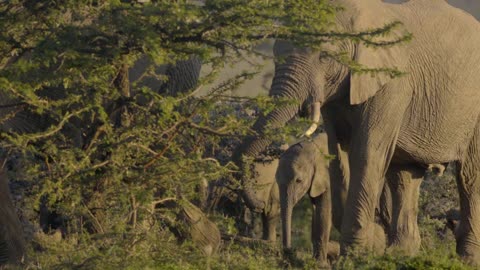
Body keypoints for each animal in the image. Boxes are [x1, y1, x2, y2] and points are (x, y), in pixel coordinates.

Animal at [240, 0, 480, 262]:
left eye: (324, 57)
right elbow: (338, 153)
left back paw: (467, 258)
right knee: (404, 176)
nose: (258, 204)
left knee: (469, 177)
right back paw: (400, 252)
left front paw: (357, 252)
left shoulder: (391, 86)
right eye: (275, 57)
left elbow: (366, 153)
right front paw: (371, 241)